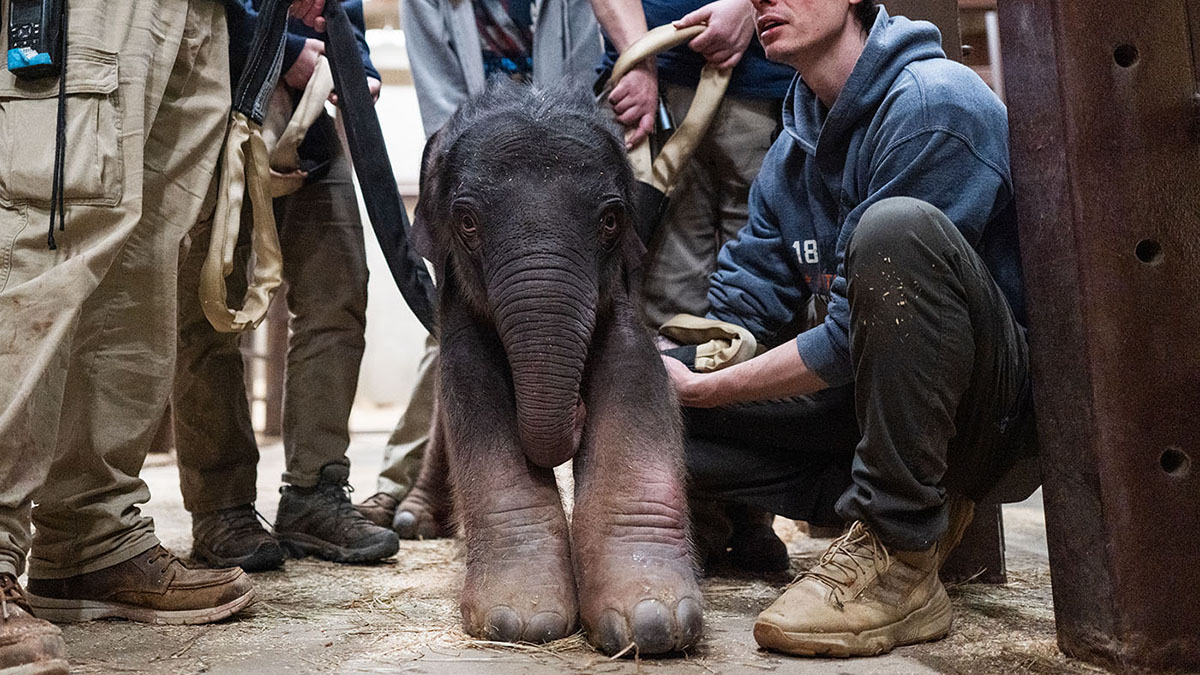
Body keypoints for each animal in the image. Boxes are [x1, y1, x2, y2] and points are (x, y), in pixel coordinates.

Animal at [405, 79, 703, 655]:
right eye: (467, 223)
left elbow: (635, 377)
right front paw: (520, 620)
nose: (577, 412)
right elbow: (471, 390)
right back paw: (412, 518)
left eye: (610, 221)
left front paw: (654, 620)